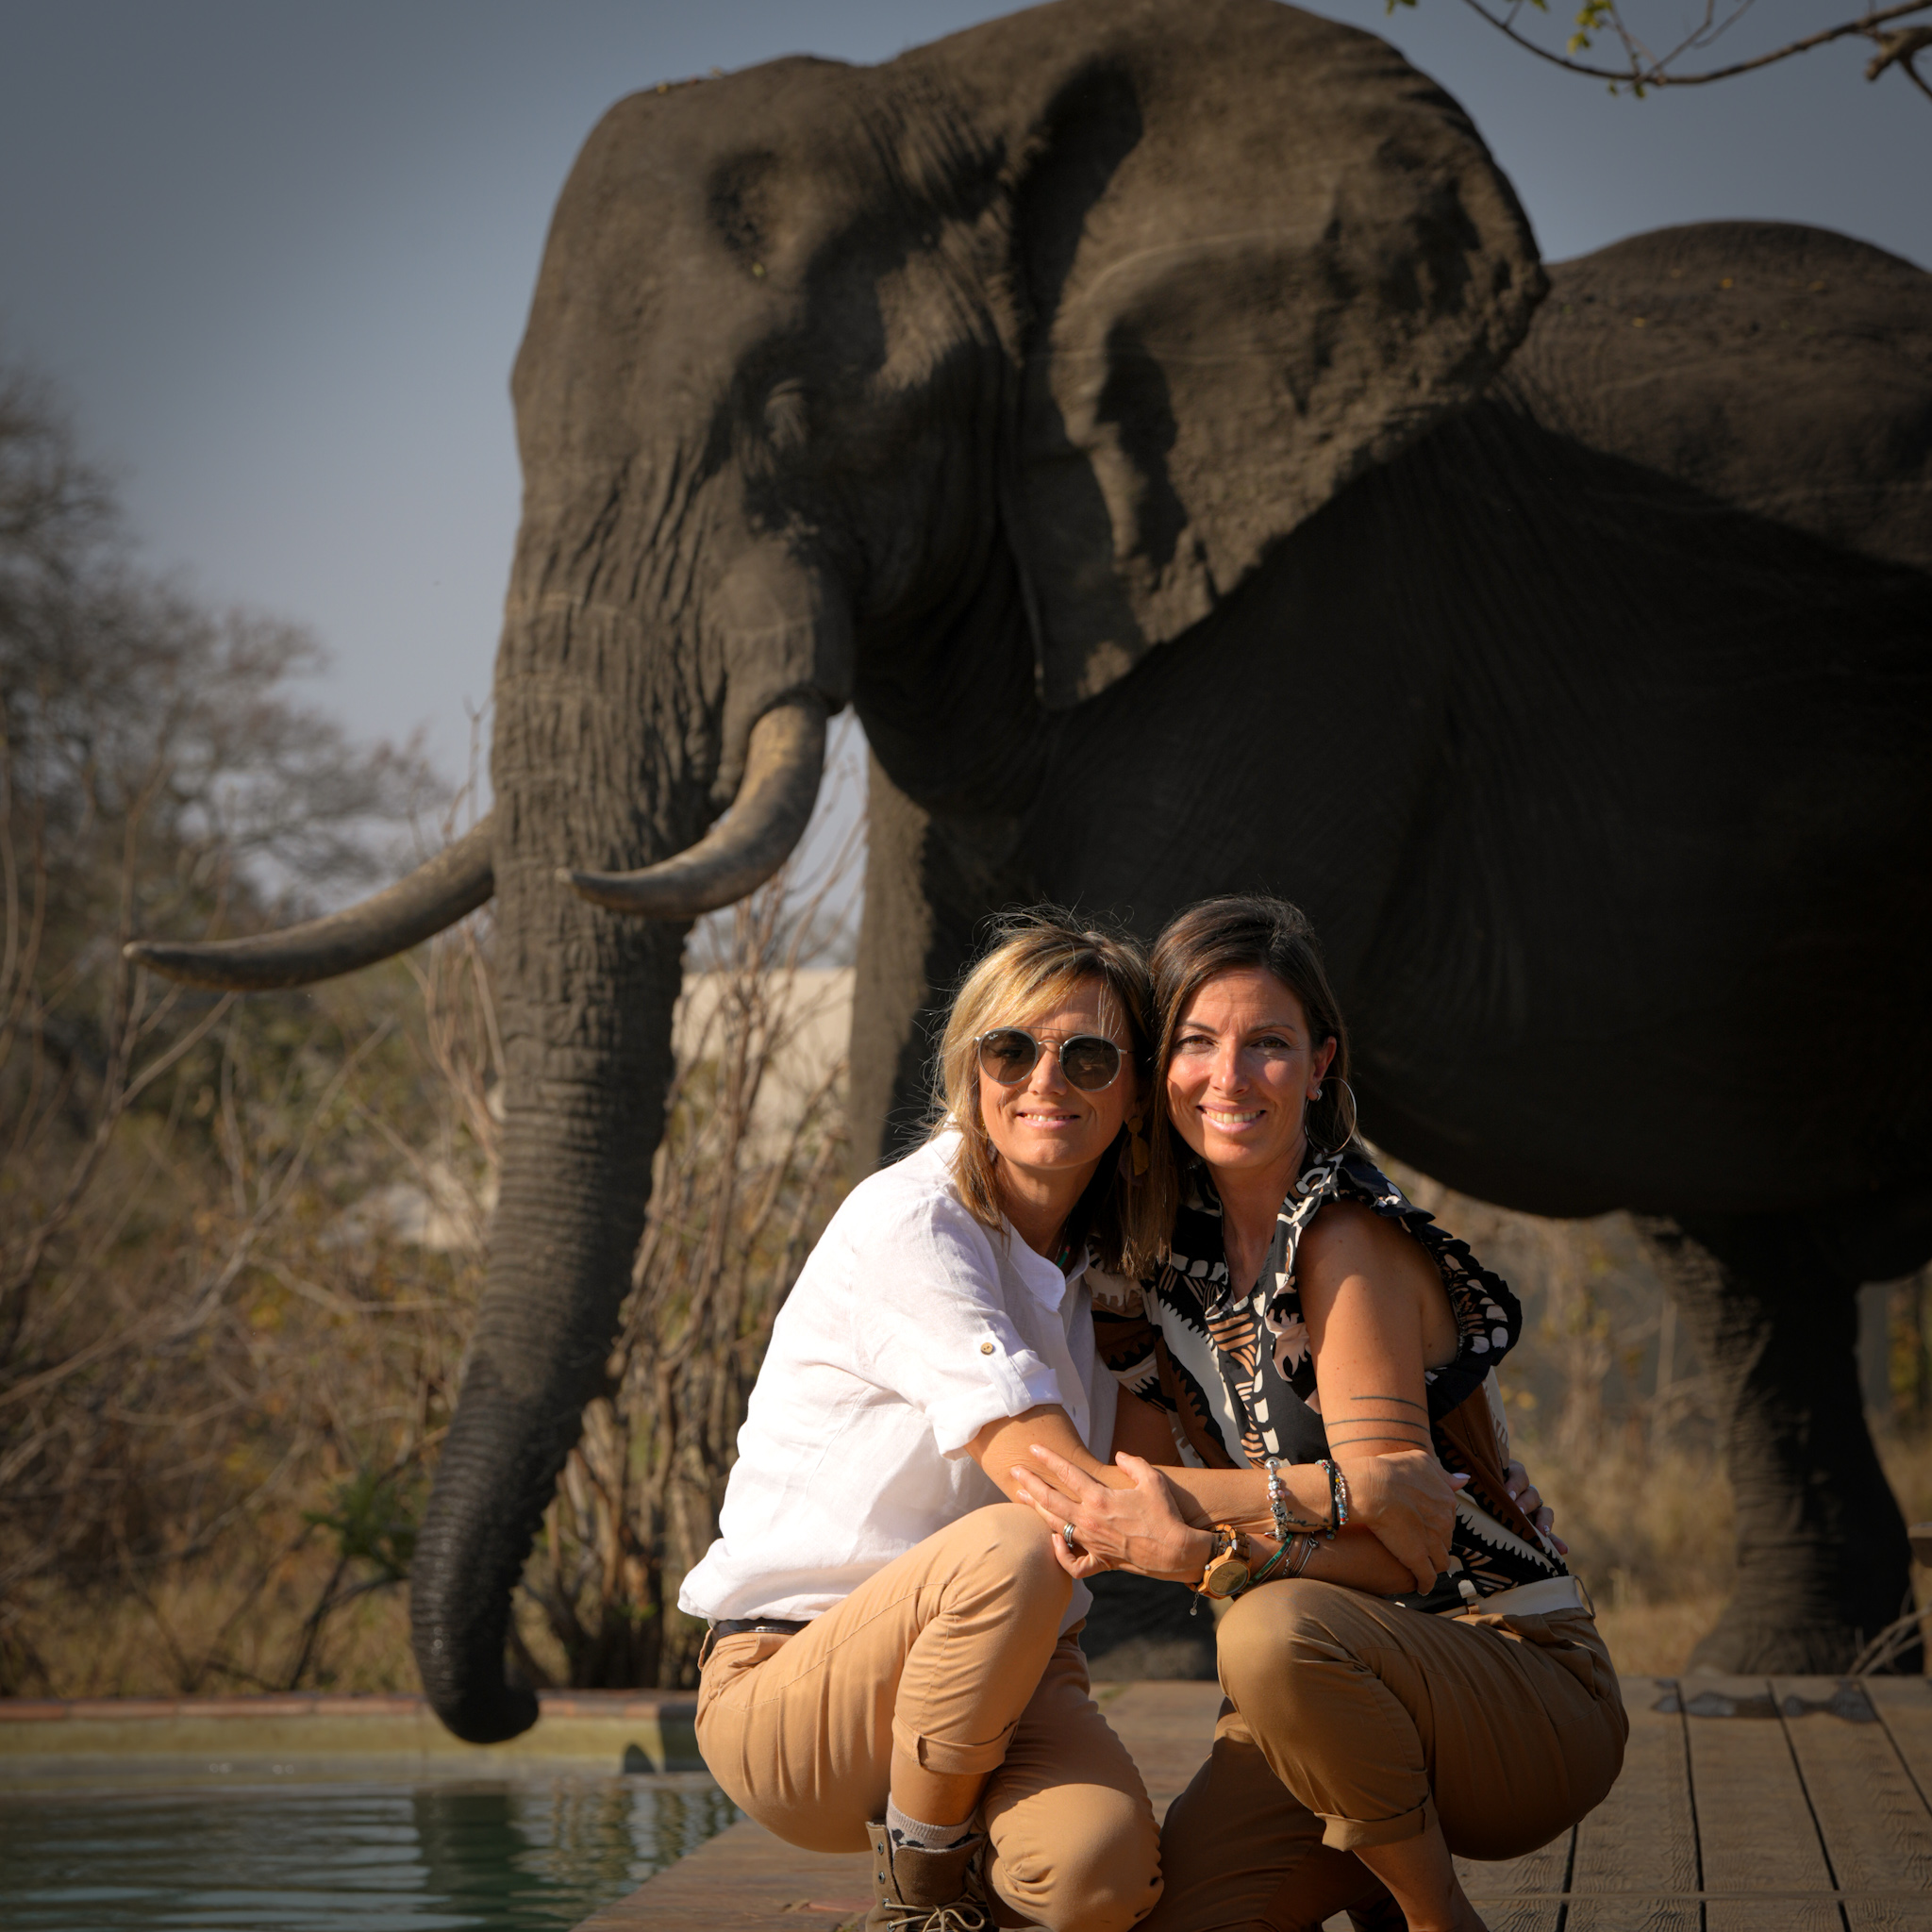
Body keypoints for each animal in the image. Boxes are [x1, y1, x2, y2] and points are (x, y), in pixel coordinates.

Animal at [128, 0, 1932, 1741]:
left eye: (803, 414)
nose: (508, 1697)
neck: (955, 91)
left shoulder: (1308, 600)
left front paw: (1133, 1624)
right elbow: (908, 1012)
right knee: (1740, 1262)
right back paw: (1801, 1647)